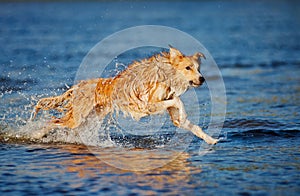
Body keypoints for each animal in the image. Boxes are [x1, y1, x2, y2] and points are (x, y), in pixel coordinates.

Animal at [31, 46, 218, 144]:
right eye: (188, 68)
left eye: (198, 68)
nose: (202, 79)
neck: (166, 75)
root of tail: (78, 86)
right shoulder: (147, 105)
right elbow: (178, 100)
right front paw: (184, 113)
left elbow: (189, 124)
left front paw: (210, 139)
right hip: (77, 118)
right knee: (52, 121)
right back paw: (35, 134)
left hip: (89, 118)